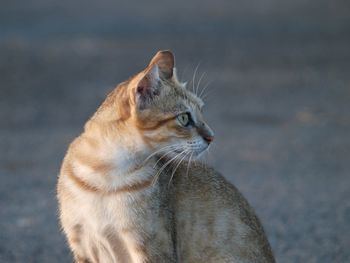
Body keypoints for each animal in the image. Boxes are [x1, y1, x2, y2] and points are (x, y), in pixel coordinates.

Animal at [57, 50, 274, 262]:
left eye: (201, 110)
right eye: (184, 118)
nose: (212, 136)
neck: (105, 176)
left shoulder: (150, 248)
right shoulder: (82, 245)